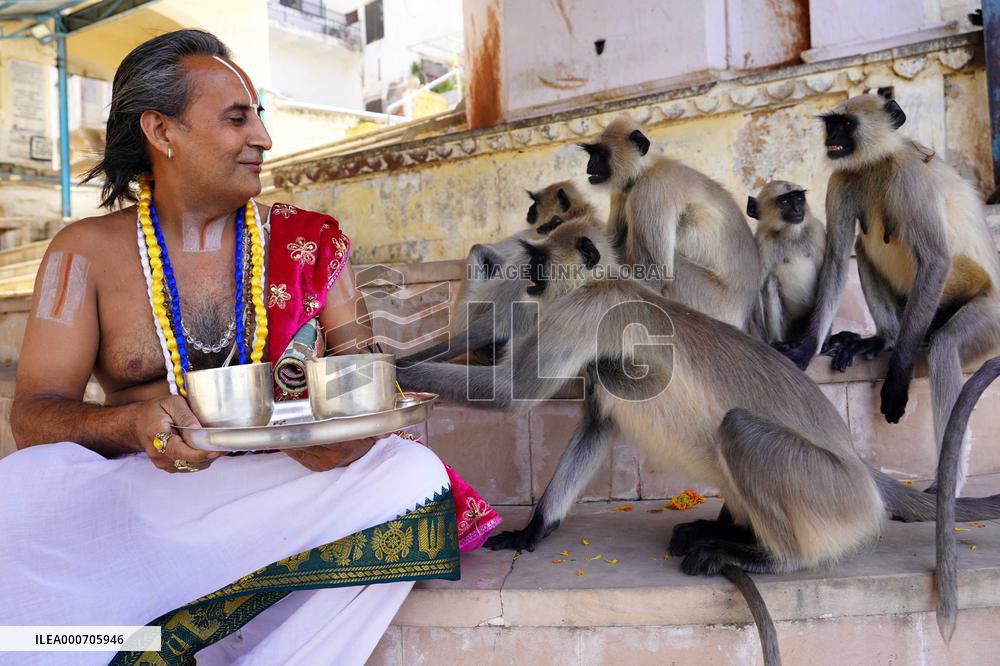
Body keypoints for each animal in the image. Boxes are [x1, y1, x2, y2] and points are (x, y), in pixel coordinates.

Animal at [396, 219, 1000, 663]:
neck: (609, 283)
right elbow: (596, 425)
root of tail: (859, 469)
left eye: (541, 261)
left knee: (741, 432)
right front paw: (535, 528)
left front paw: (397, 370)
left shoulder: (582, 312)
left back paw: (768, 557)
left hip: (828, 492)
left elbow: (511, 396)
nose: (531, 280)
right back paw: (723, 528)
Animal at [579, 116, 761, 331]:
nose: (589, 166)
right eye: (592, 154)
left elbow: (653, 275)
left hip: (713, 302)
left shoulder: (652, 189)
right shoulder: (623, 191)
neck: (646, 169)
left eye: (600, 154)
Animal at [746, 181, 826, 345]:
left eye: (799, 198)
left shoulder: (817, 231)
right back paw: (778, 342)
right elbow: (758, 287)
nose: (797, 210)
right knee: (770, 283)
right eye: (784, 202)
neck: (790, 235)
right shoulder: (761, 242)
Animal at [780, 94, 1000, 495]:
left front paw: (897, 381)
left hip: (988, 315)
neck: (876, 163)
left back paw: (947, 485)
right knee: (862, 247)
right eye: (831, 124)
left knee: (945, 345)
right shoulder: (842, 177)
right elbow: (838, 256)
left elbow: (935, 261)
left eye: (846, 125)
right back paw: (886, 339)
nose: (831, 138)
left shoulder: (910, 176)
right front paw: (807, 348)